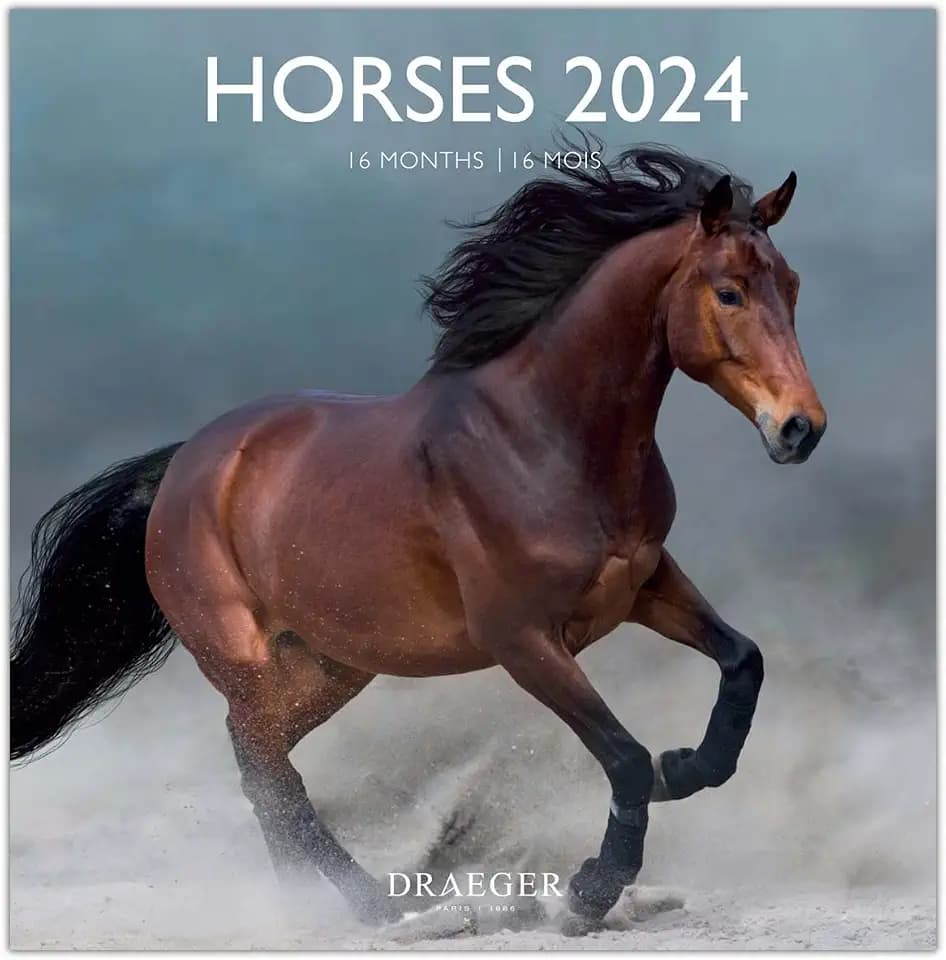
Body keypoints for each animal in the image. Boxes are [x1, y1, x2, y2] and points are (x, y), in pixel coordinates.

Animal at [11, 144, 826, 927]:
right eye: (729, 292)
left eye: (791, 286)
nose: (800, 429)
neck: (544, 438)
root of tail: (184, 465)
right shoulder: (522, 639)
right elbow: (623, 757)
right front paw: (590, 891)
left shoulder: (644, 585)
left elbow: (742, 662)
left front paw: (685, 766)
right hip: (243, 656)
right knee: (267, 771)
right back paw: (366, 909)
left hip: (328, 665)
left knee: (264, 763)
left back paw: (344, 904)